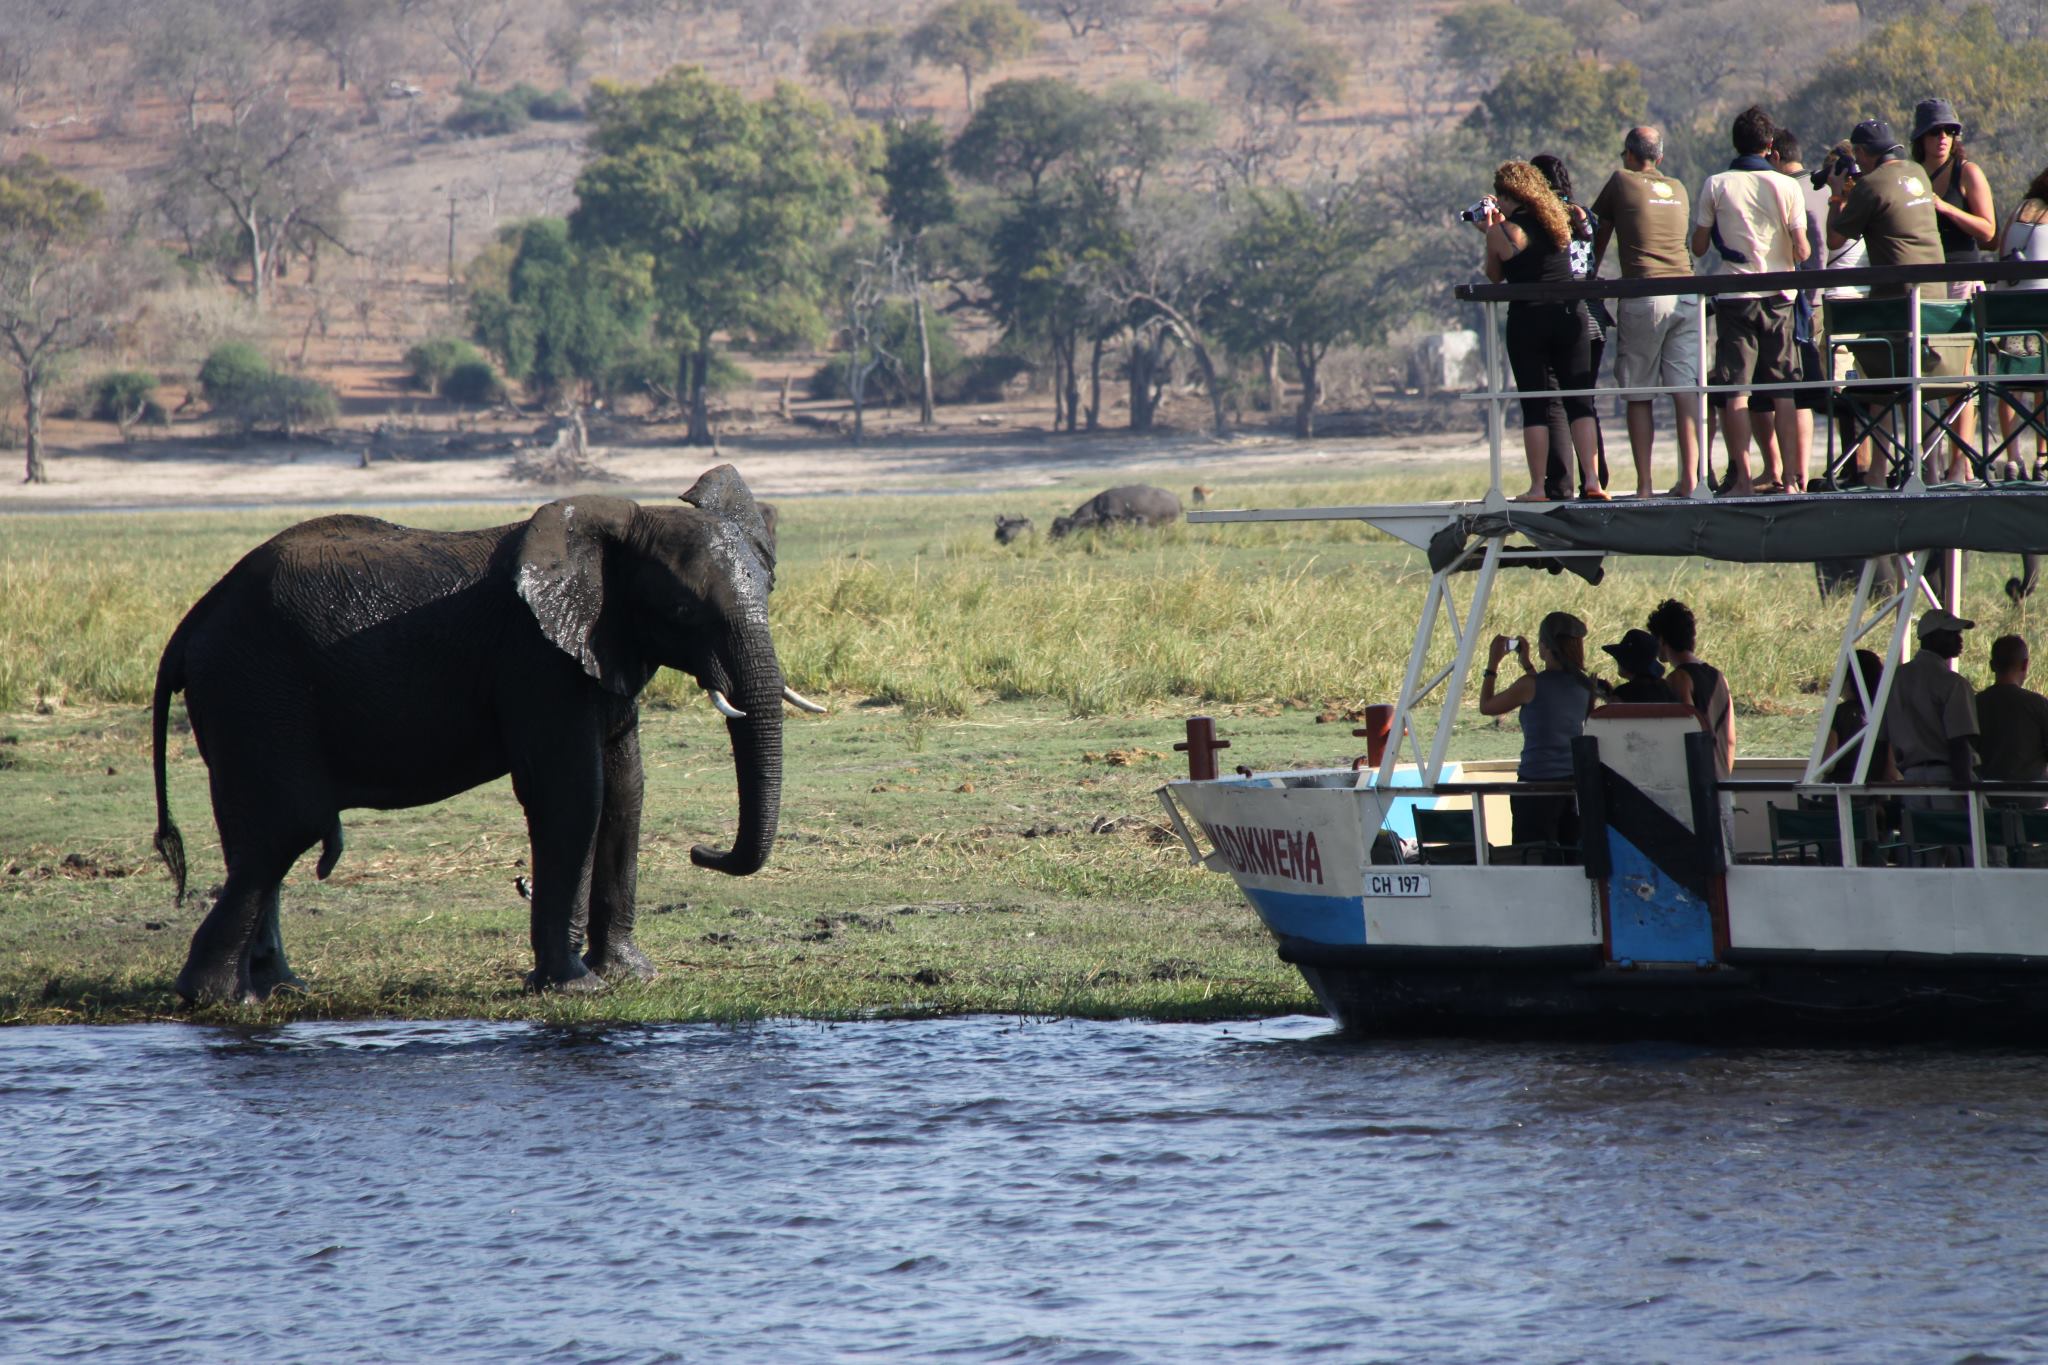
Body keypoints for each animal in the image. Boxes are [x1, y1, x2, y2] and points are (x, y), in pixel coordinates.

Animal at [151, 466, 811, 1002]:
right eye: (682, 613)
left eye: (772, 588)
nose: (702, 851)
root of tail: (191, 624)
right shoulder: (533, 659)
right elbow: (575, 795)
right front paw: (575, 988)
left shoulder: (600, 648)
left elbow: (627, 791)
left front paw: (631, 976)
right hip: (255, 688)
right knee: (284, 827)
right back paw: (221, 998)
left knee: (254, 835)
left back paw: (279, 990)